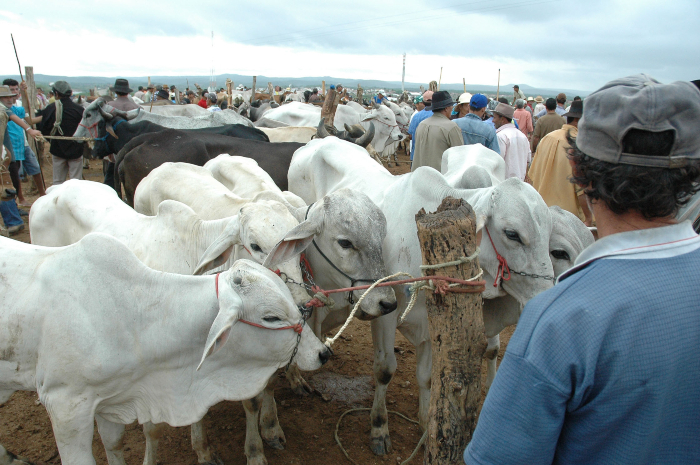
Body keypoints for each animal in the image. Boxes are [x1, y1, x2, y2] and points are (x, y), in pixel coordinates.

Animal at [288, 137, 556, 454]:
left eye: (549, 233)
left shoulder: (430, 323)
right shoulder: (385, 310)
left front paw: (426, 424)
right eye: (512, 234)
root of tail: (320, 139)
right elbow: (385, 369)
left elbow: (426, 377)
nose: (546, 295)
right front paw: (379, 428)